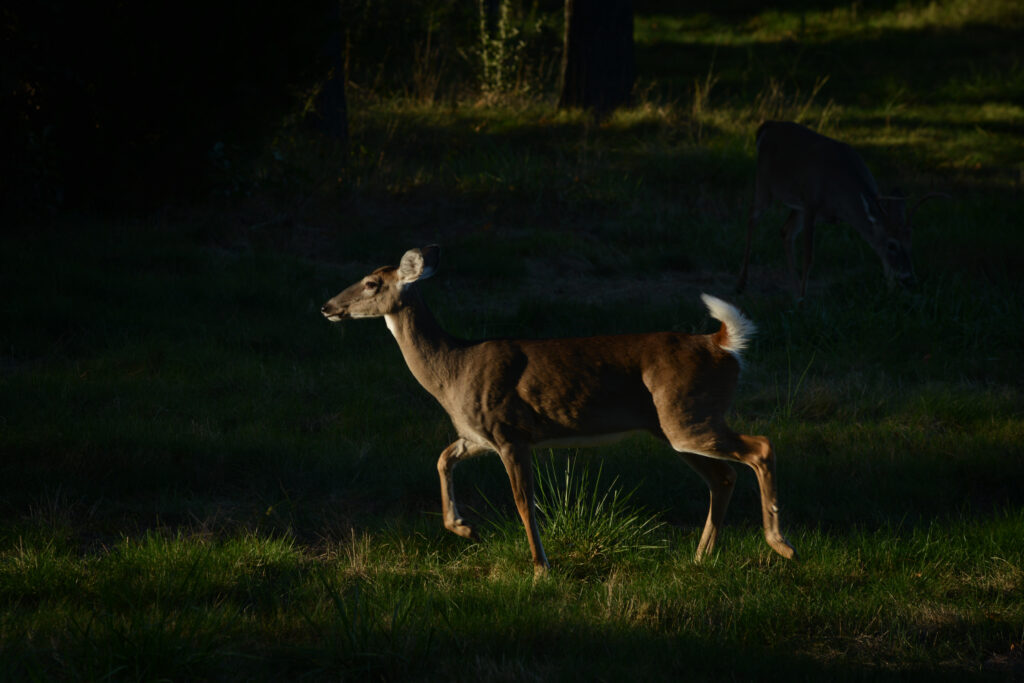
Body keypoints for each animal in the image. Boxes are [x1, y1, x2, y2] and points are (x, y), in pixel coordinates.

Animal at [319, 246, 790, 577]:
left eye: (371, 283)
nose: (327, 306)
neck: (452, 370)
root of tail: (719, 343)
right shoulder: (477, 435)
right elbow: (442, 458)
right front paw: (465, 528)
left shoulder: (511, 432)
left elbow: (523, 501)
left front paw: (540, 568)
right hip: (676, 426)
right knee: (724, 476)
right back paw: (700, 557)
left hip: (688, 417)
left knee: (762, 446)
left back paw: (779, 543)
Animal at [737, 119, 942, 299]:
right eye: (891, 245)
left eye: (910, 243)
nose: (909, 279)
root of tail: (766, 127)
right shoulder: (811, 204)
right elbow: (809, 257)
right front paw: (804, 300)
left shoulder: (813, 209)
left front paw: (891, 287)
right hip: (764, 184)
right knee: (751, 218)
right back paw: (743, 283)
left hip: (795, 205)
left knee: (785, 231)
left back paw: (794, 291)